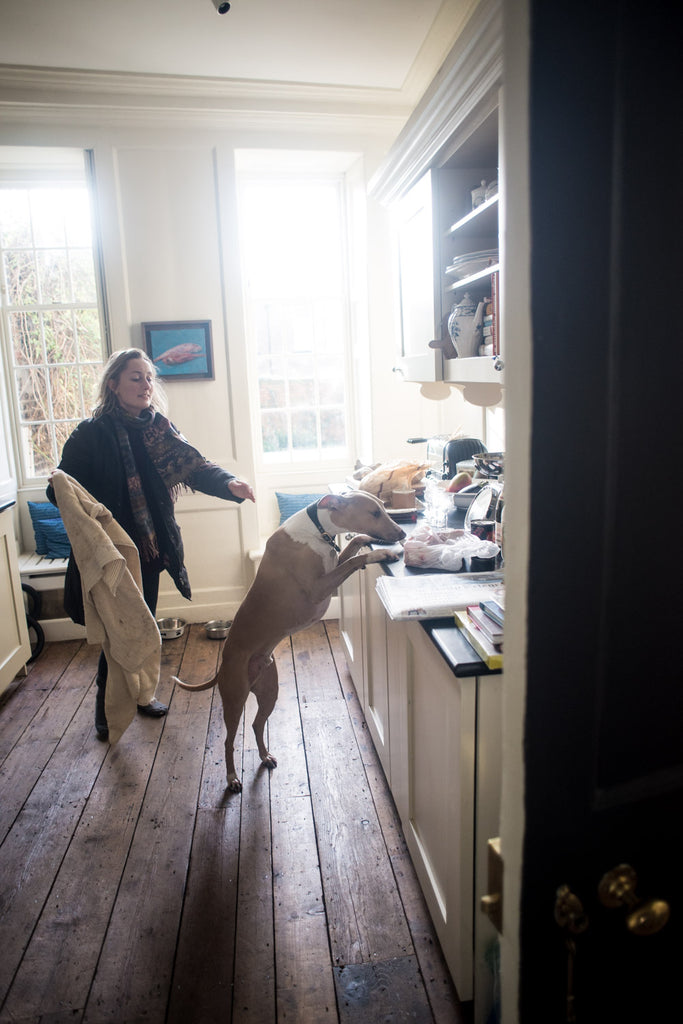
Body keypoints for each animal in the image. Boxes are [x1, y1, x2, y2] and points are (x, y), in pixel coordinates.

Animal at [175, 489, 405, 790]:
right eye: (374, 513)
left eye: (384, 508)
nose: (403, 533)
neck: (316, 531)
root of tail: (223, 664)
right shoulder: (320, 588)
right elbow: (356, 559)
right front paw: (382, 552)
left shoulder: (334, 565)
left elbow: (354, 543)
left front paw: (370, 540)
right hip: (234, 702)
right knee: (228, 741)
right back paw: (232, 778)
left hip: (269, 693)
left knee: (257, 725)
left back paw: (265, 757)